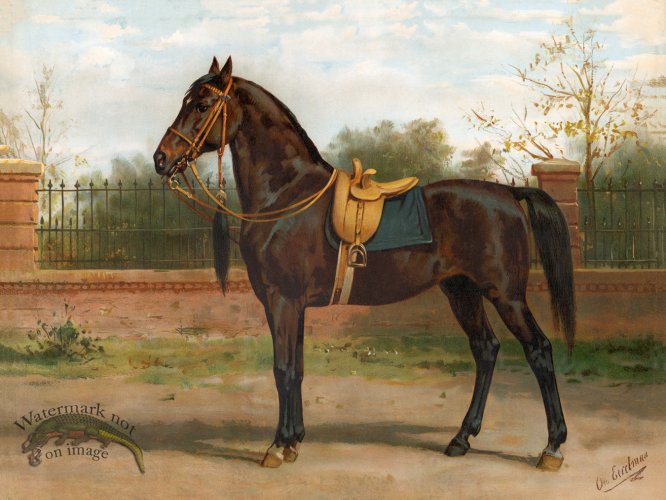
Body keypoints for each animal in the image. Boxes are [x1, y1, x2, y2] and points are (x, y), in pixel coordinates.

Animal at [154, 56, 575, 471]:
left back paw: (552, 447)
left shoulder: (282, 299)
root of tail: (507, 193)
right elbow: (297, 369)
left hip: (506, 295)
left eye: (202, 105)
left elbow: (283, 369)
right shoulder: (295, 305)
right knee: (485, 349)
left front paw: (278, 445)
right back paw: (461, 439)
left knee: (539, 351)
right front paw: (295, 440)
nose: (161, 158)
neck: (287, 195)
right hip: (462, 292)